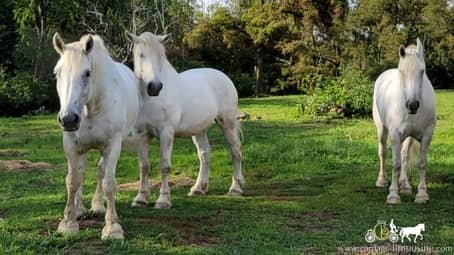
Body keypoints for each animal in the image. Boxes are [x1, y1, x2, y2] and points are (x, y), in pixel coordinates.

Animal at [52, 33, 139, 239]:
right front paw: (68, 222)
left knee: (100, 171)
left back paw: (98, 206)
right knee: (81, 171)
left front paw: (112, 227)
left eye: (87, 73)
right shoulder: (70, 144)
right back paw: (79, 208)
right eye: (57, 73)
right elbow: (72, 180)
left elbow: (109, 183)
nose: (68, 119)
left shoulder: (113, 145)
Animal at [124, 30, 245, 208]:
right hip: (199, 130)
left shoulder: (166, 133)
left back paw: (235, 188)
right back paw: (198, 188)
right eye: (141, 55)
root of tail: (224, 77)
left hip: (227, 123)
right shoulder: (141, 134)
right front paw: (140, 198)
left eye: (161, 56)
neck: (150, 100)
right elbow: (144, 166)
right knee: (205, 154)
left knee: (235, 151)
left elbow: (164, 165)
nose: (155, 87)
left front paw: (163, 200)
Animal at [372, 37, 436, 204]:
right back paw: (381, 180)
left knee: (404, 156)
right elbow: (395, 164)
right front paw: (393, 195)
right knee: (382, 152)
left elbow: (421, 163)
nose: (412, 105)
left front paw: (421, 194)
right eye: (401, 72)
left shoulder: (427, 135)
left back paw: (405, 185)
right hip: (382, 130)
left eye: (422, 71)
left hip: (408, 136)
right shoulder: (394, 134)